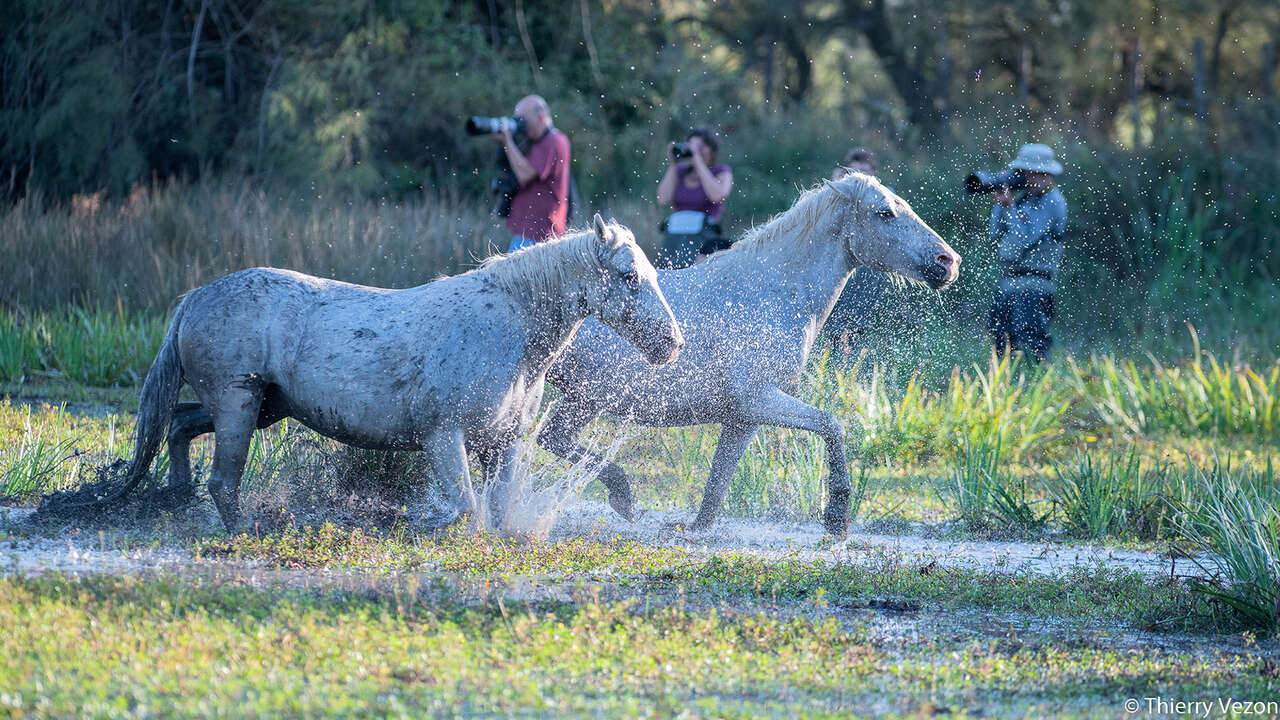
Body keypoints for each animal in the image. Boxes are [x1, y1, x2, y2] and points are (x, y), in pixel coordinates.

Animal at [42, 211, 680, 527]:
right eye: (628, 276)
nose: (671, 344)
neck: (509, 328)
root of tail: (194, 299)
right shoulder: (444, 437)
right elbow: (466, 510)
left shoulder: (503, 446)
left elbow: (494, 514)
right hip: (238, 403)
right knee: (222, 479)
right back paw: (244, 531)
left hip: (261, 407)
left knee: (176, 427)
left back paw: (176, 497)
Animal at [540, 172, 962, 532]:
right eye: (885, 212)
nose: (948, 262)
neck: (773, 293)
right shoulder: (760, 400)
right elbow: (832, 425)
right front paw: (836, 517)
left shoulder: (743, 418)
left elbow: (716, 487)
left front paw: (692, 529)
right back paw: (622, 497)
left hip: (582, 400)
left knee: (553, 439)